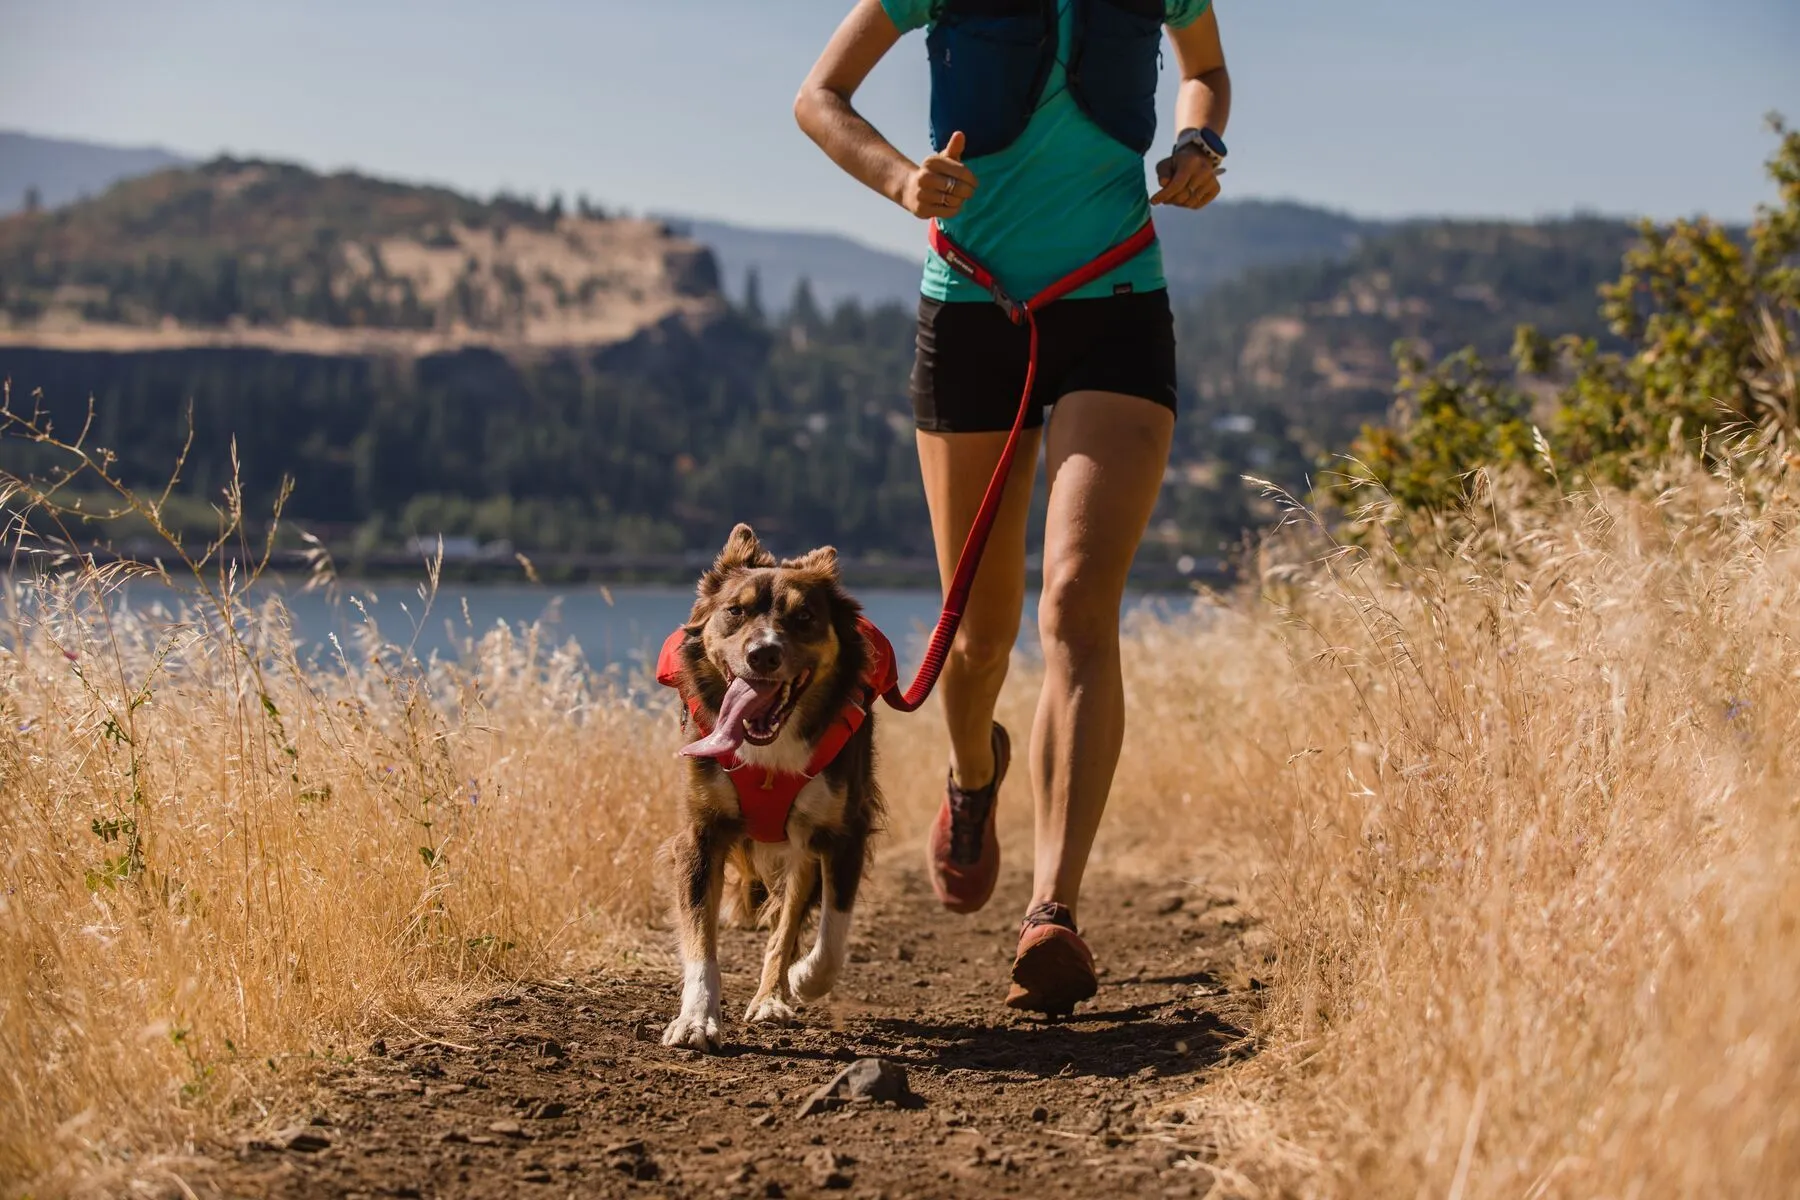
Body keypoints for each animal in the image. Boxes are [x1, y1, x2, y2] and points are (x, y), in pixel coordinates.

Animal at [658, 525, 889, 1050]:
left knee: (787, 923)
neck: (769, 750)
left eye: (804, 617)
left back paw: (773, 995)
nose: (762, 654)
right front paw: (697, 1018)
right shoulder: (700, 834)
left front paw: (802, 979)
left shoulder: (843, 833)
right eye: (735, 611)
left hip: (802, 851)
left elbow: (828, 936)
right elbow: (700, 939)